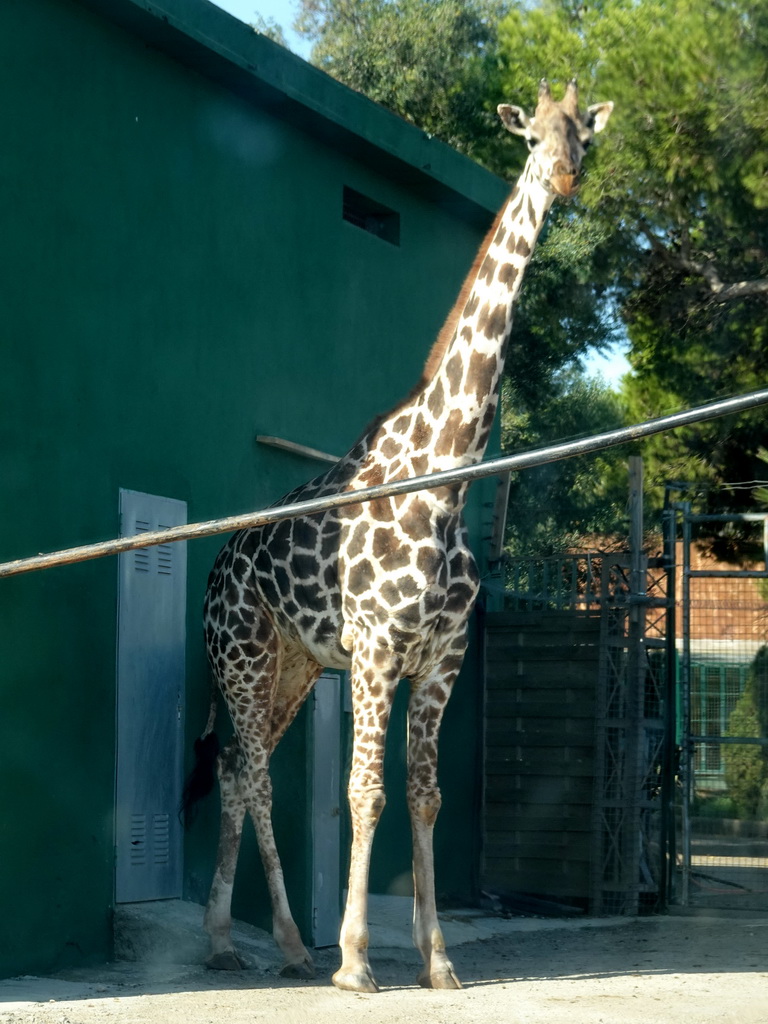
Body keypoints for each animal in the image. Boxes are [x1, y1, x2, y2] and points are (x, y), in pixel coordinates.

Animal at [189, 79, 618, 991]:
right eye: (532, 137)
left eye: (584, 136)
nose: (564, 178)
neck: (447, 479)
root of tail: (215, 570)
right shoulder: (380, 649)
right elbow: (365, 792)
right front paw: (356, 960)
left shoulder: (443, 656)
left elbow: (425, 794)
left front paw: (438, 960)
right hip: (243, 658)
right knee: (256, 781)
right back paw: (289, 942)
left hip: (294, 669)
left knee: (240, 774)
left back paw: (229, 940)